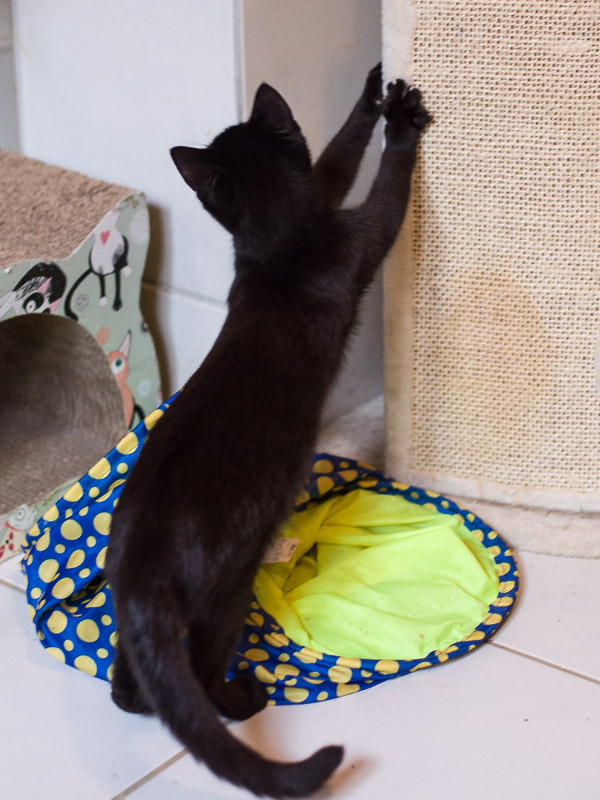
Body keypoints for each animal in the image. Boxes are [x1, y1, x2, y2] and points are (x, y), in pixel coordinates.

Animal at [105, 69, 428, 800]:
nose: (386, 94)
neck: (278, 245)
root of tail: (140, 560)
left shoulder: (322, 192)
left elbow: (335, 159)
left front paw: (373, 96)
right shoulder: (362, 236)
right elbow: (387, 190)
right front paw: (403, 126)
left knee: (129, 690)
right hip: (227, 590)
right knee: (199, 673)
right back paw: (243, 698)